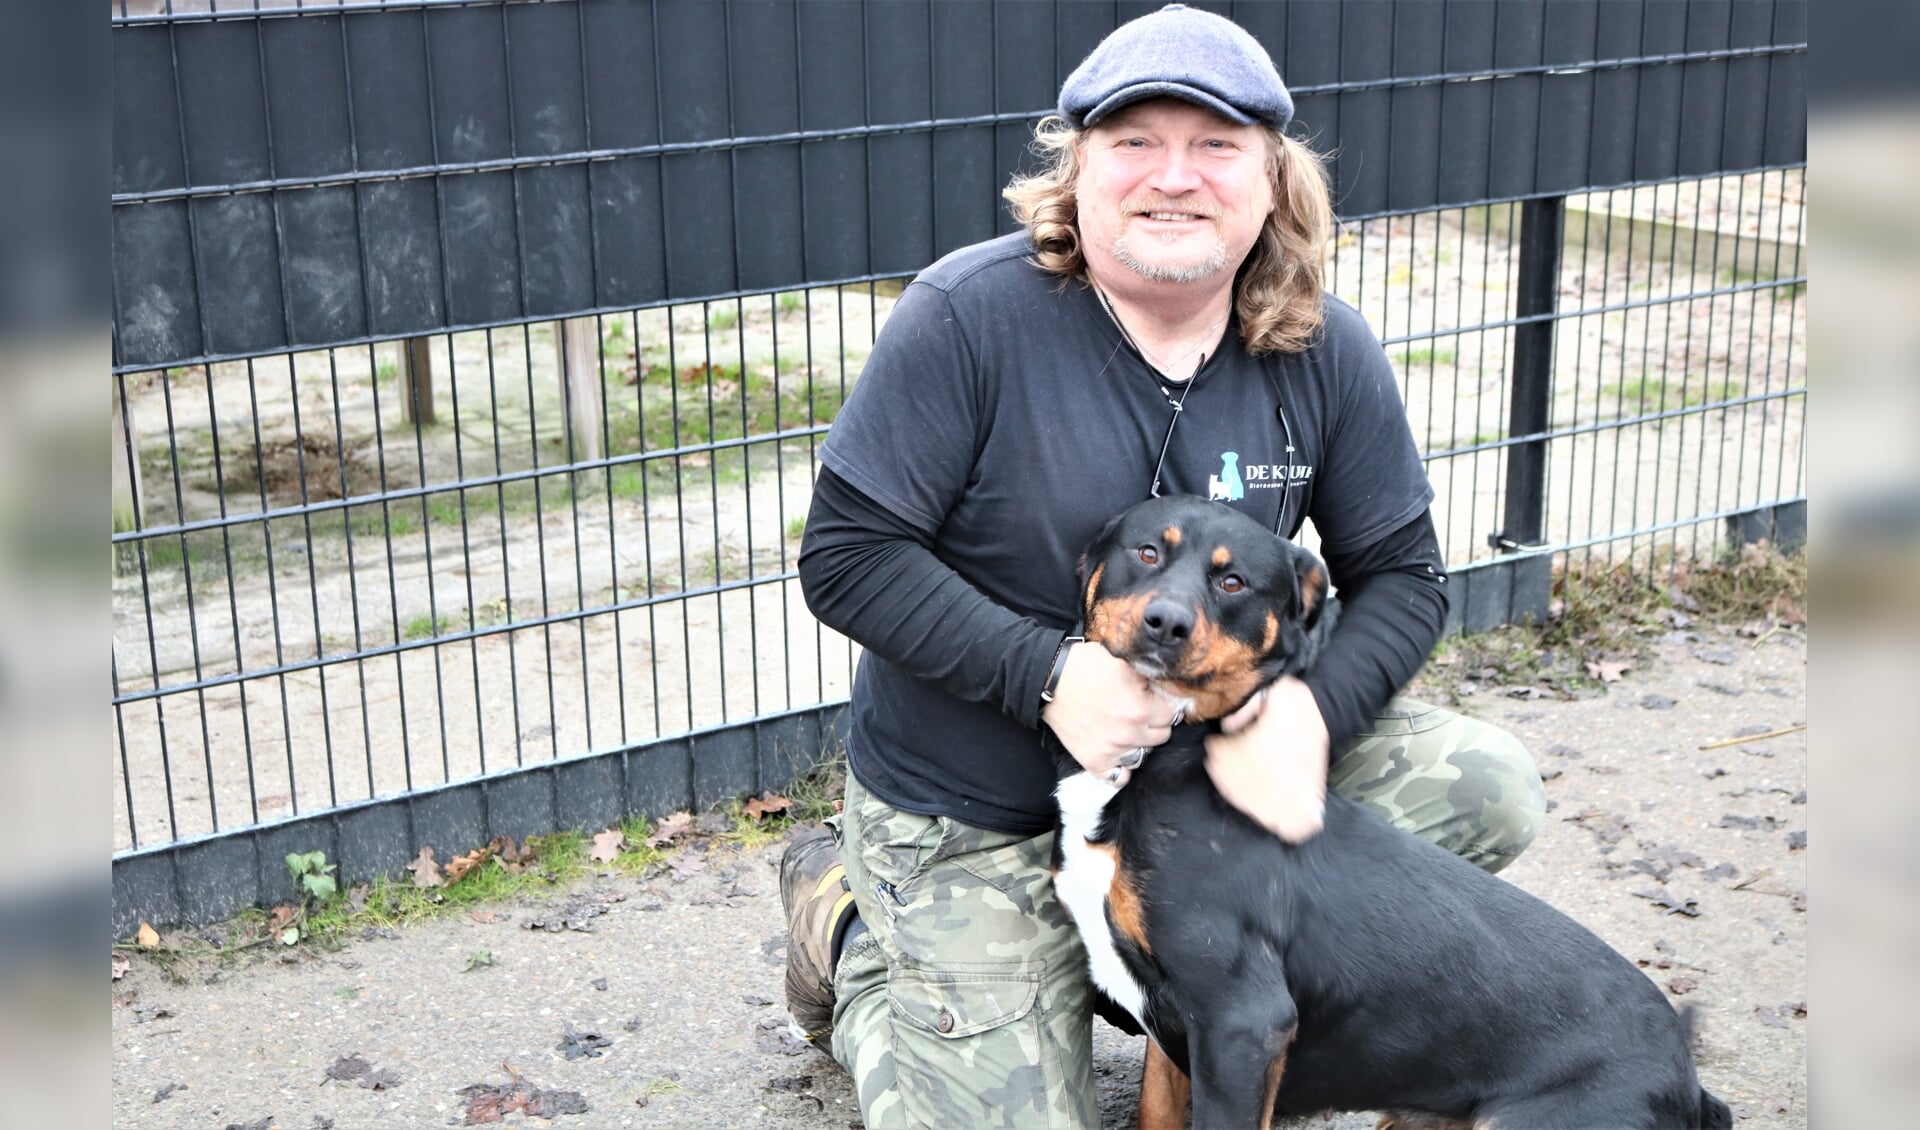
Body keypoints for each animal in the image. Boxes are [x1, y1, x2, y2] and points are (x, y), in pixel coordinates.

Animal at [1052, 498, 1743, 1128]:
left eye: (1233, 582)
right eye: (1147, 553)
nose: (1166, 623)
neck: (1167, 756)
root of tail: (1690, 1085)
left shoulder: (1239, 1019)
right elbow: (1155, 1111)